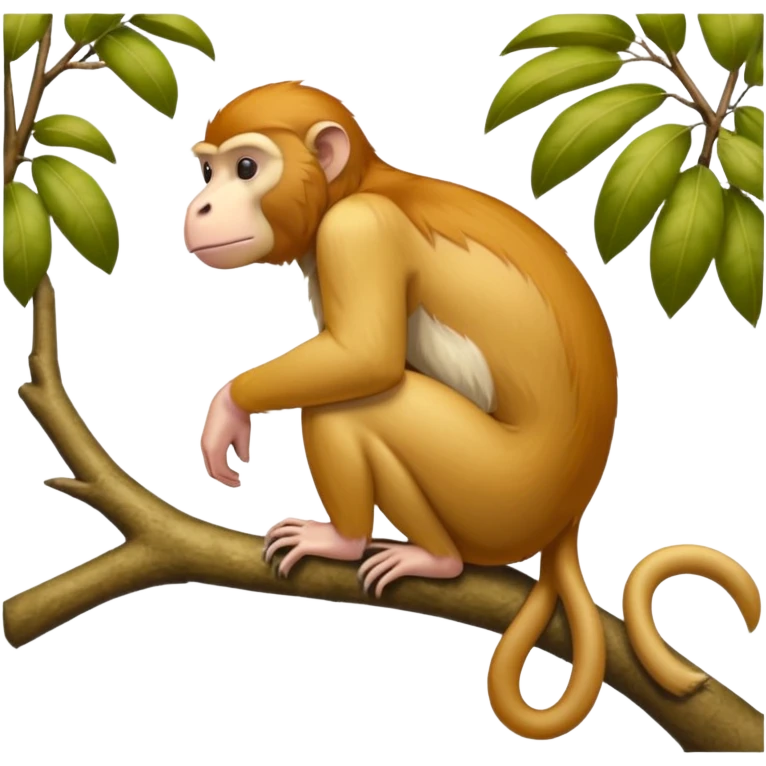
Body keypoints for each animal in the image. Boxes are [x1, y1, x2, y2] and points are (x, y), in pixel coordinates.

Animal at [183, 80, 762, 741]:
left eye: (247, 169)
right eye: (209, 170)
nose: (201, 206)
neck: (357, 187)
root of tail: (569, 516)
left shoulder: (359, 232)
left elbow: (364, 360)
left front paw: (227, 406)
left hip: (502, 493)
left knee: (356, 408)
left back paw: (390, 551)